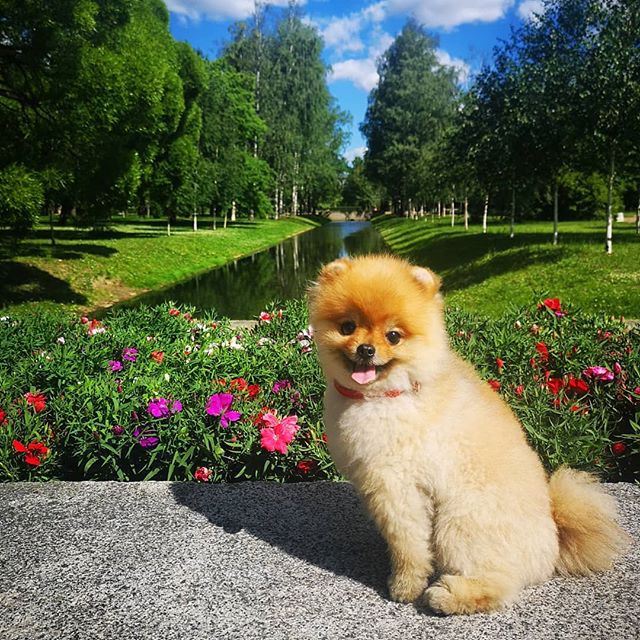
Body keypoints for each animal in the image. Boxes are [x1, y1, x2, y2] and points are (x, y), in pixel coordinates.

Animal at [308, 254, 628, 616]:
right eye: (347, 327)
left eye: (393, 336)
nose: (365, 349)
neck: (389, 395)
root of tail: (555, 537)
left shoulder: (397, 483)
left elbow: (408, 544)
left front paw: (405, 585)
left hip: (461, 520)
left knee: (496, 581)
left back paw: (448, 596)